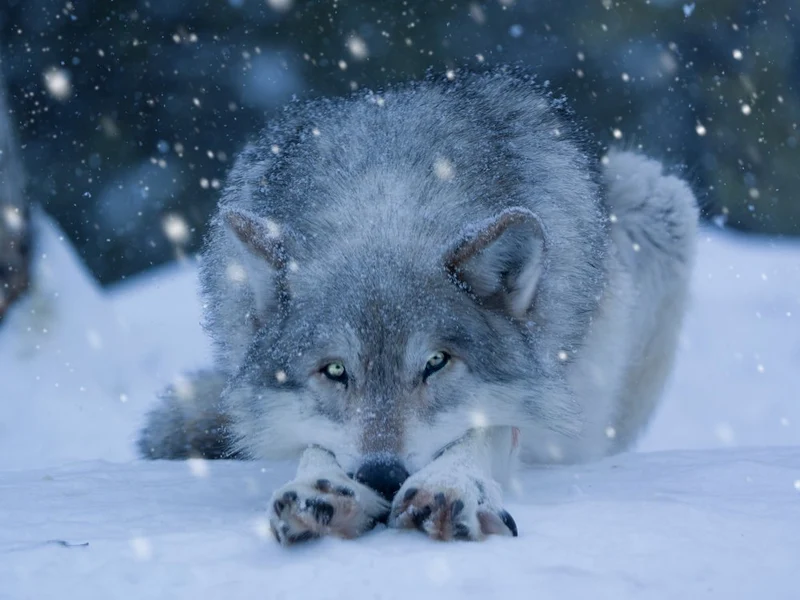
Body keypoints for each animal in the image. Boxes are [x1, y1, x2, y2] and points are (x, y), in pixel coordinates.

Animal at [138, 66, 698, 545]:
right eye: (335, 370)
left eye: (436, 362)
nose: (383, 476)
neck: (385, 205)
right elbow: (313, 445)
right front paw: (323, 491)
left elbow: (489, 428)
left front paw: (450, 486)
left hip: (654, 197)